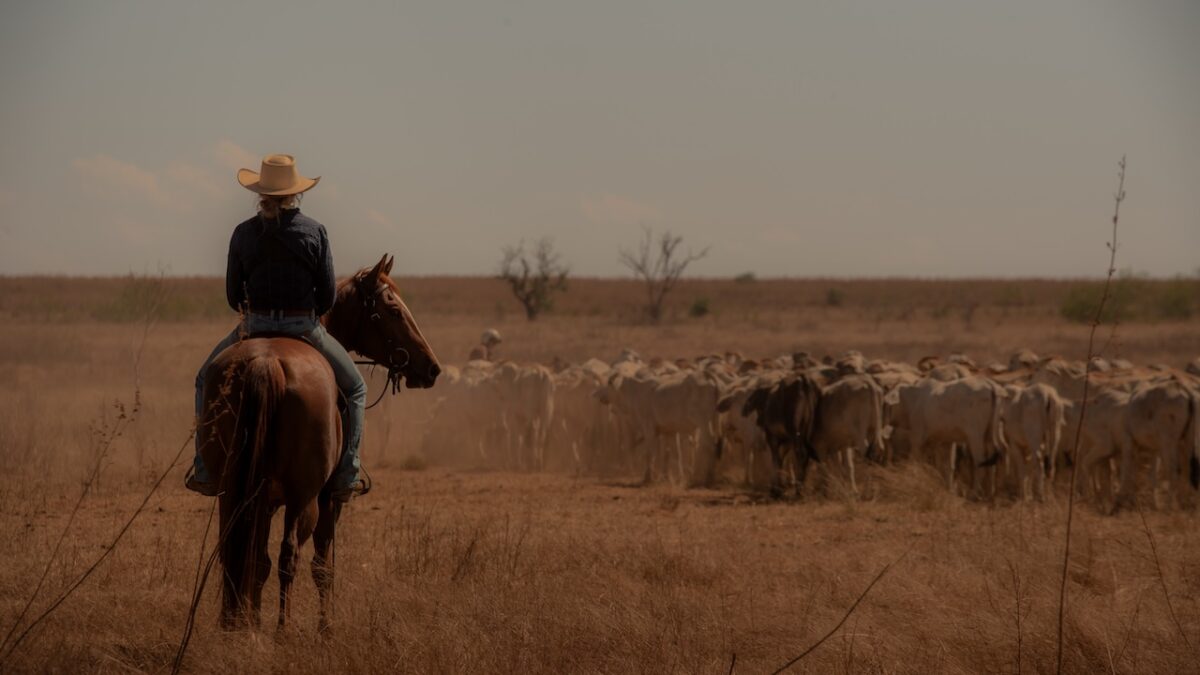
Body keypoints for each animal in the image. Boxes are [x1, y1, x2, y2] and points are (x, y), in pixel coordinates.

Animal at [196, 251, 441, 624]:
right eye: (394, 311)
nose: (432, 368)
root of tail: (266, 363)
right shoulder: (329, 500)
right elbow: (322, 566)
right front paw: (326, 627)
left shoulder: (263, 499)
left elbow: (256, 561)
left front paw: (252, 620)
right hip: (305, 497)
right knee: (289, 557)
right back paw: (281, 630)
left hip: (231, 489)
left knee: (237, 552)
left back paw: (236, 625)